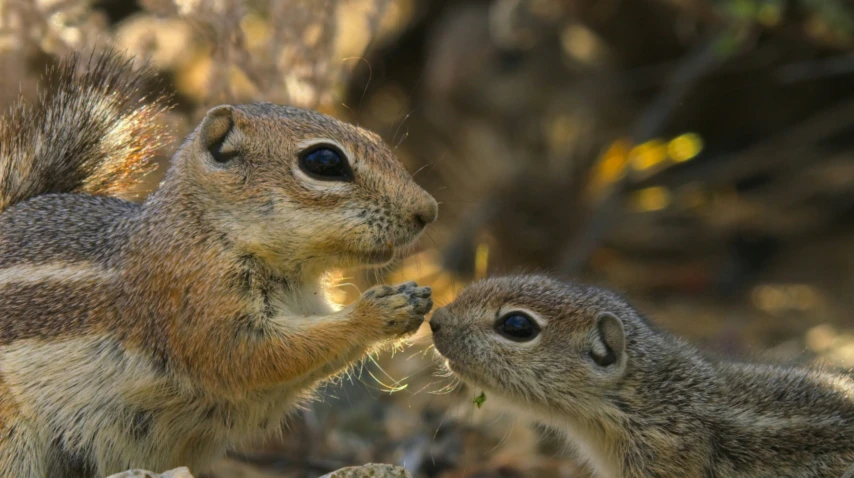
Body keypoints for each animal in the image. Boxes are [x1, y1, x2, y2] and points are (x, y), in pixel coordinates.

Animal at [0, 50, 438, 476]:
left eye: (376, 139)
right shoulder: (194, 301)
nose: (428, 211)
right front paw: (380, 310)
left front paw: (414, 300)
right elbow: (249, 356)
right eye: (324, 161)